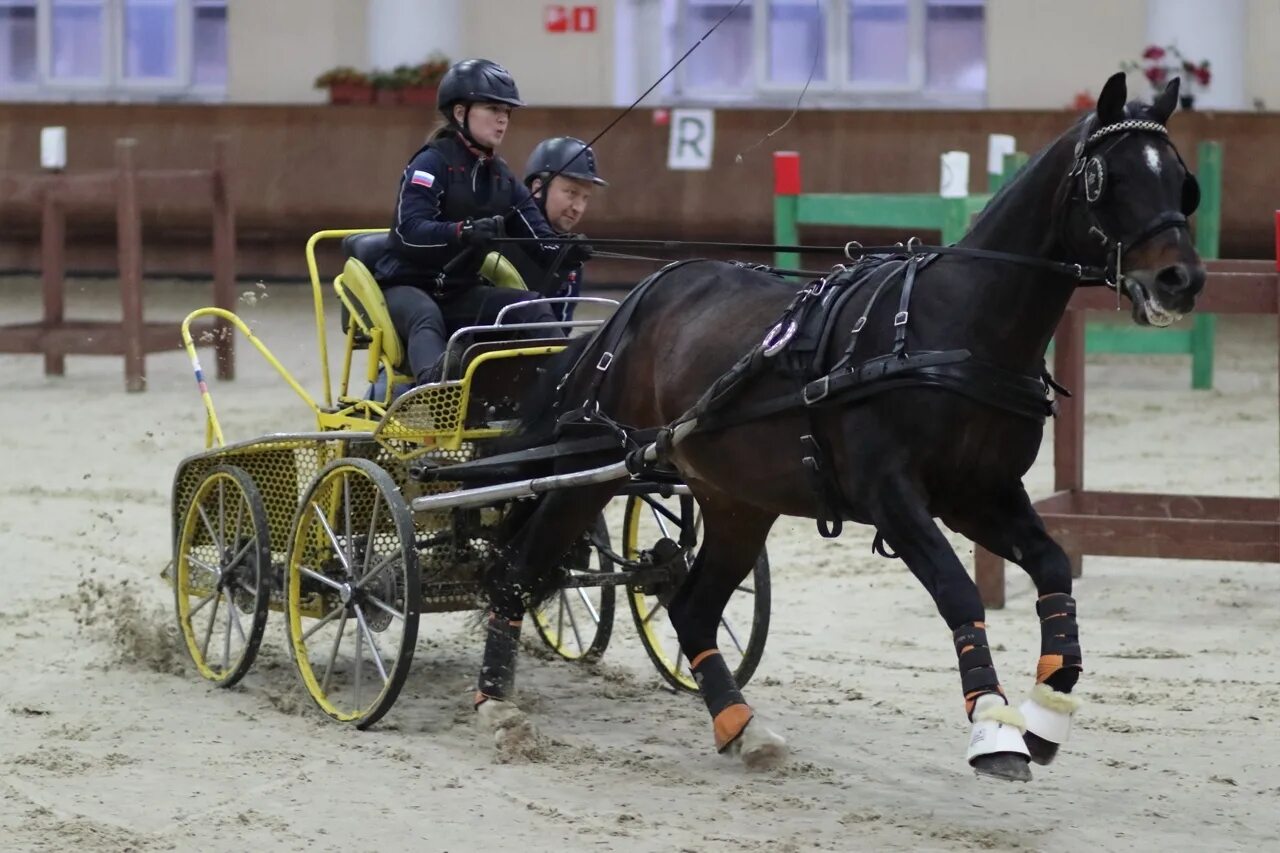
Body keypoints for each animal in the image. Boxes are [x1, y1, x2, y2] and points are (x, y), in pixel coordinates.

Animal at [468, 76, 1198, 778]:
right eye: (1108, 177)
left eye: (1182, 180)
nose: (1180, 279)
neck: (957, 328)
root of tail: (637, 301)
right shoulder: (893, 497)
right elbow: (958, 589)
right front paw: (993, 728)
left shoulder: (980, 493)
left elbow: (1052, 565)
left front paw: (1045, 713)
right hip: (589, 469)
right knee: (518, 568)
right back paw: (497, 705)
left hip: (736, 500)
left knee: (692, 609)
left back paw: (742, 727)